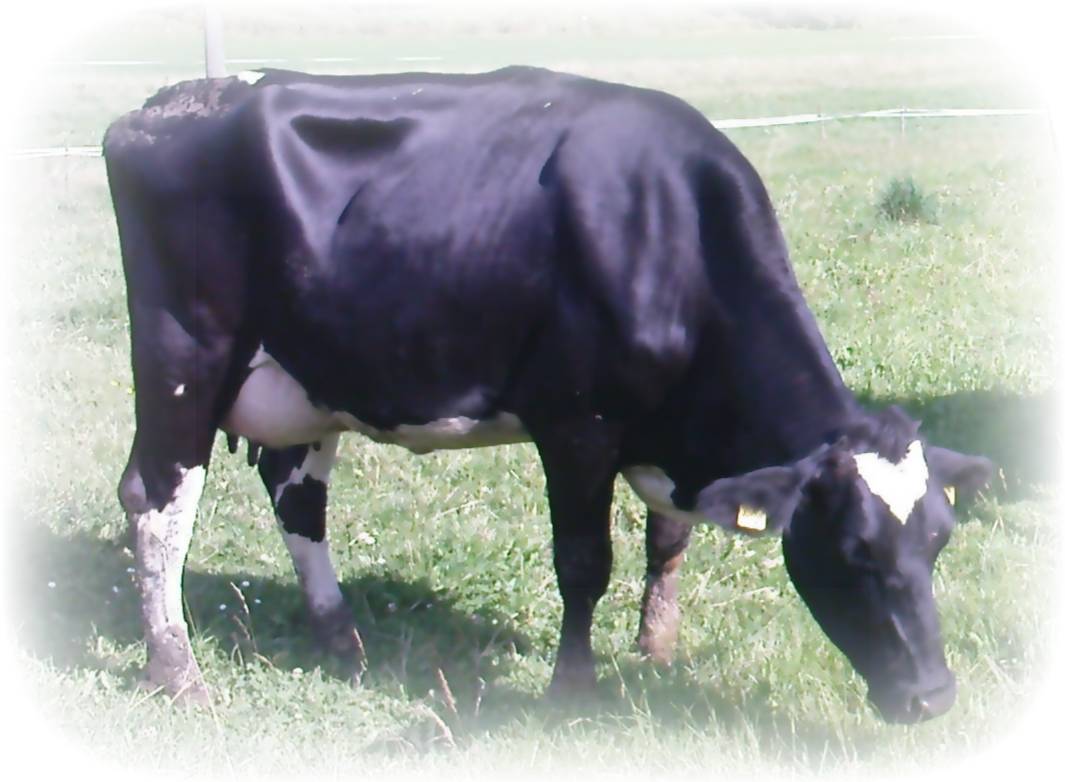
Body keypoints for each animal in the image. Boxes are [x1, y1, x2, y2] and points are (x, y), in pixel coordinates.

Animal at [103, 66, 992, 723]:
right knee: (155, 498)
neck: (667, 234)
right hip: (184, 352)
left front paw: (656, 648)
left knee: (295, 494)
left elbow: (668, 543)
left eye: (939, 543)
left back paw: (337, 636)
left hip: (308, 375)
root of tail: (170, 104)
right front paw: (572, 686)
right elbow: (583, 563)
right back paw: (176, 670)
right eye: (853, 550)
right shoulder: (577, 425)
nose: (932, 697)